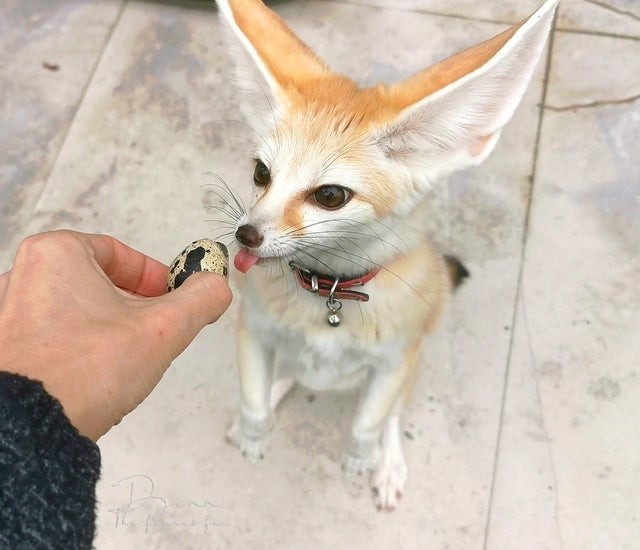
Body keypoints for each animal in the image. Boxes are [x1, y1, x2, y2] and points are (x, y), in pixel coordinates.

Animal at [215, 0, 558, 510]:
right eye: (261, 173)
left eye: (330, 195)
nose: (246, 235)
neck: (330, 292)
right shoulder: (253, 330)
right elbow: (253, 400)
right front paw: (255, 434)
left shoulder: (395, 360)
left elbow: (368, 424)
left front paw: (361, 459)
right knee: (293, 374)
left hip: (411, 364)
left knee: (392, 416)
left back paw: (388, 460)